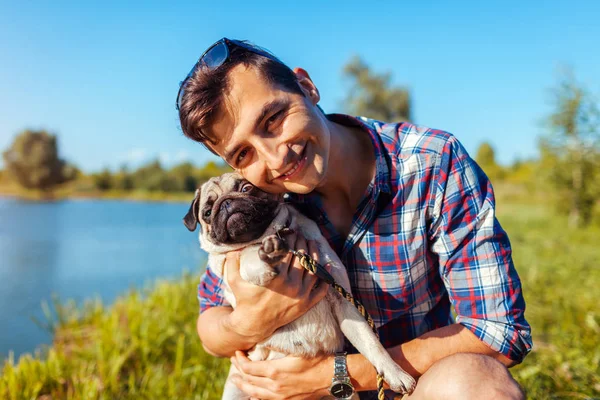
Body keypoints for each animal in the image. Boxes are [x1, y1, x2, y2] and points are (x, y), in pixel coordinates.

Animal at [184, 173, 418, 400]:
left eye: (246, 188)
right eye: (207, 212)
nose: (226, 203)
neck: (269, 235)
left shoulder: (344, 302)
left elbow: (371, 343)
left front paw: (394, 372)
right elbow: (247, 254)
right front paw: (263, 260)